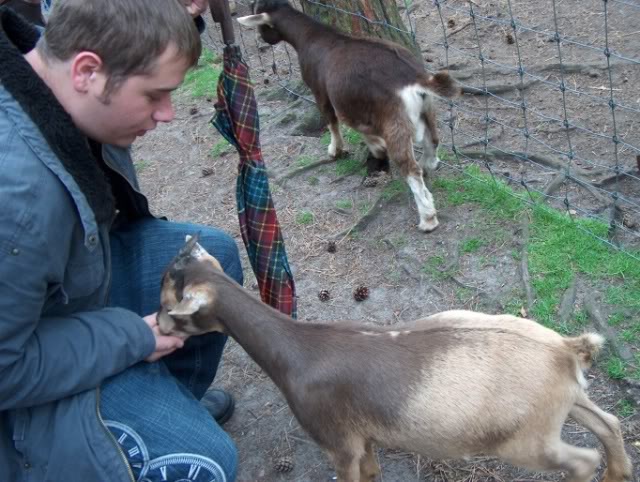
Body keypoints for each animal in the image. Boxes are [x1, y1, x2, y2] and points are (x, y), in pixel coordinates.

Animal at [160, 237, 636, 482]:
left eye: (169, 302)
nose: (160, 327)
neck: (297, 350)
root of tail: (566, 350)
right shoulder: (363, 433)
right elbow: (372, 471)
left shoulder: (337, 442)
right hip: (565, 403)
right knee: (608, 423)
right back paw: (617, 472)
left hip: (525, 440)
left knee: (581, 460)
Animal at [236, 0, 460, 232]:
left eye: (260, 22)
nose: (262, 39)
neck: (312, 37)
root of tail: (415, 79)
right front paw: (376, 148)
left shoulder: (320, 91)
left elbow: (332, 121)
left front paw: (336, 150)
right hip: (427, 107)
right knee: (433, 140)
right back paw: (428, 166)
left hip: (394, 119)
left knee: (410, 167)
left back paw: (427, 218)